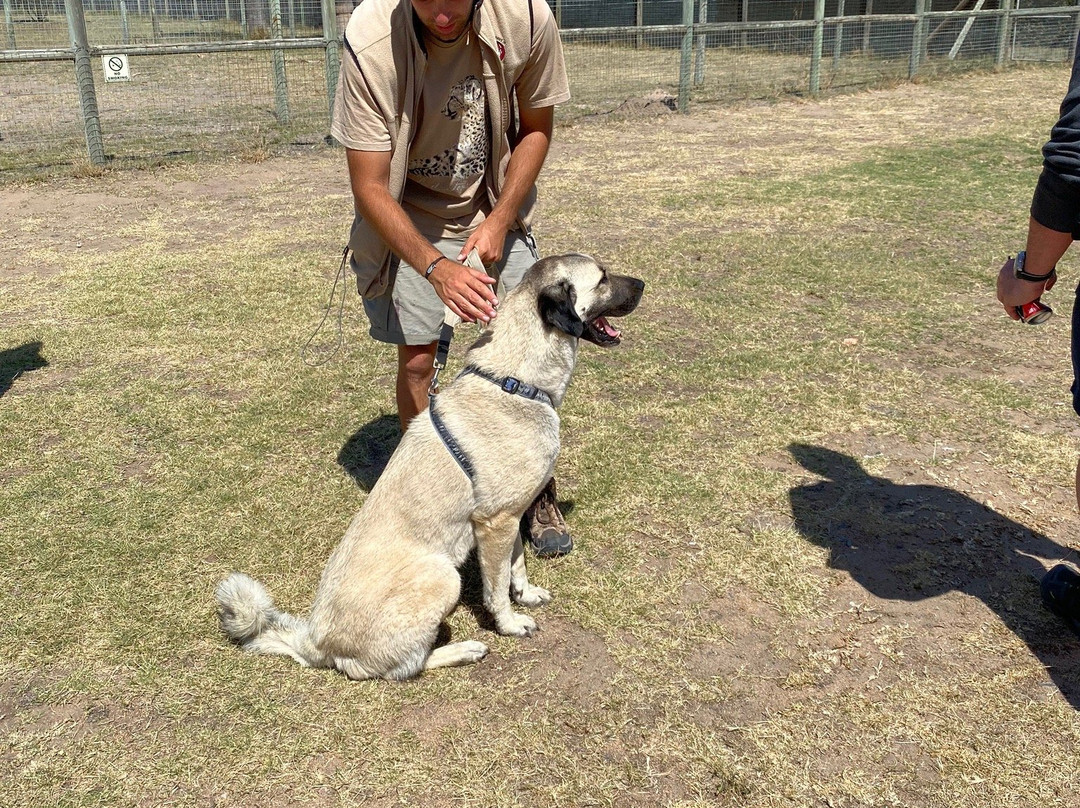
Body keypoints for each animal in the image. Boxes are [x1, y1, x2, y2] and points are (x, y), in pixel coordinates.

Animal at [214, 253, 643, 682]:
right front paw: (509, 623)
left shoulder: (510, 516)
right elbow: (496, 586)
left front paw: (526, 594)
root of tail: (316, 643)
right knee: (405, 667)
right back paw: (465, 649)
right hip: (442, 576)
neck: (514, 381)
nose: (642, 284)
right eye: (602, 279)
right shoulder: (495, 523)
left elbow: (516, 564)